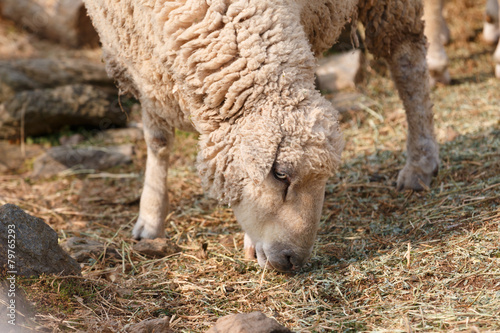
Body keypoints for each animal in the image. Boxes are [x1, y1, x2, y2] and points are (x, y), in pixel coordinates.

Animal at [84, 0, 440, 272]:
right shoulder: (139, 57)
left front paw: (249, 244)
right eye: (280, 174)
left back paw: (420, 164)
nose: (292, 261)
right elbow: (157, 139)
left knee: (407, 60)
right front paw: (150, 219)